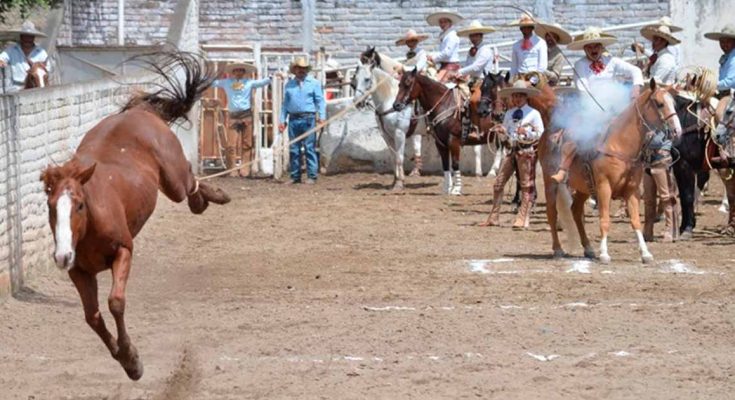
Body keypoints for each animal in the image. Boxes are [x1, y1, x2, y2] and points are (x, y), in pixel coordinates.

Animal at [40, 51, 230, 380]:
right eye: (51, 207)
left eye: (79, 205)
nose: (62, 256)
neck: (90, 226)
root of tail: (142, 112)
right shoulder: (79, 271)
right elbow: (92, 316)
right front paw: (125, 359)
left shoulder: (124, 250)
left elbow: (115, 302)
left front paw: (132, 358)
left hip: (172, 177)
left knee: (188, 182)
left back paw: (215, 195)